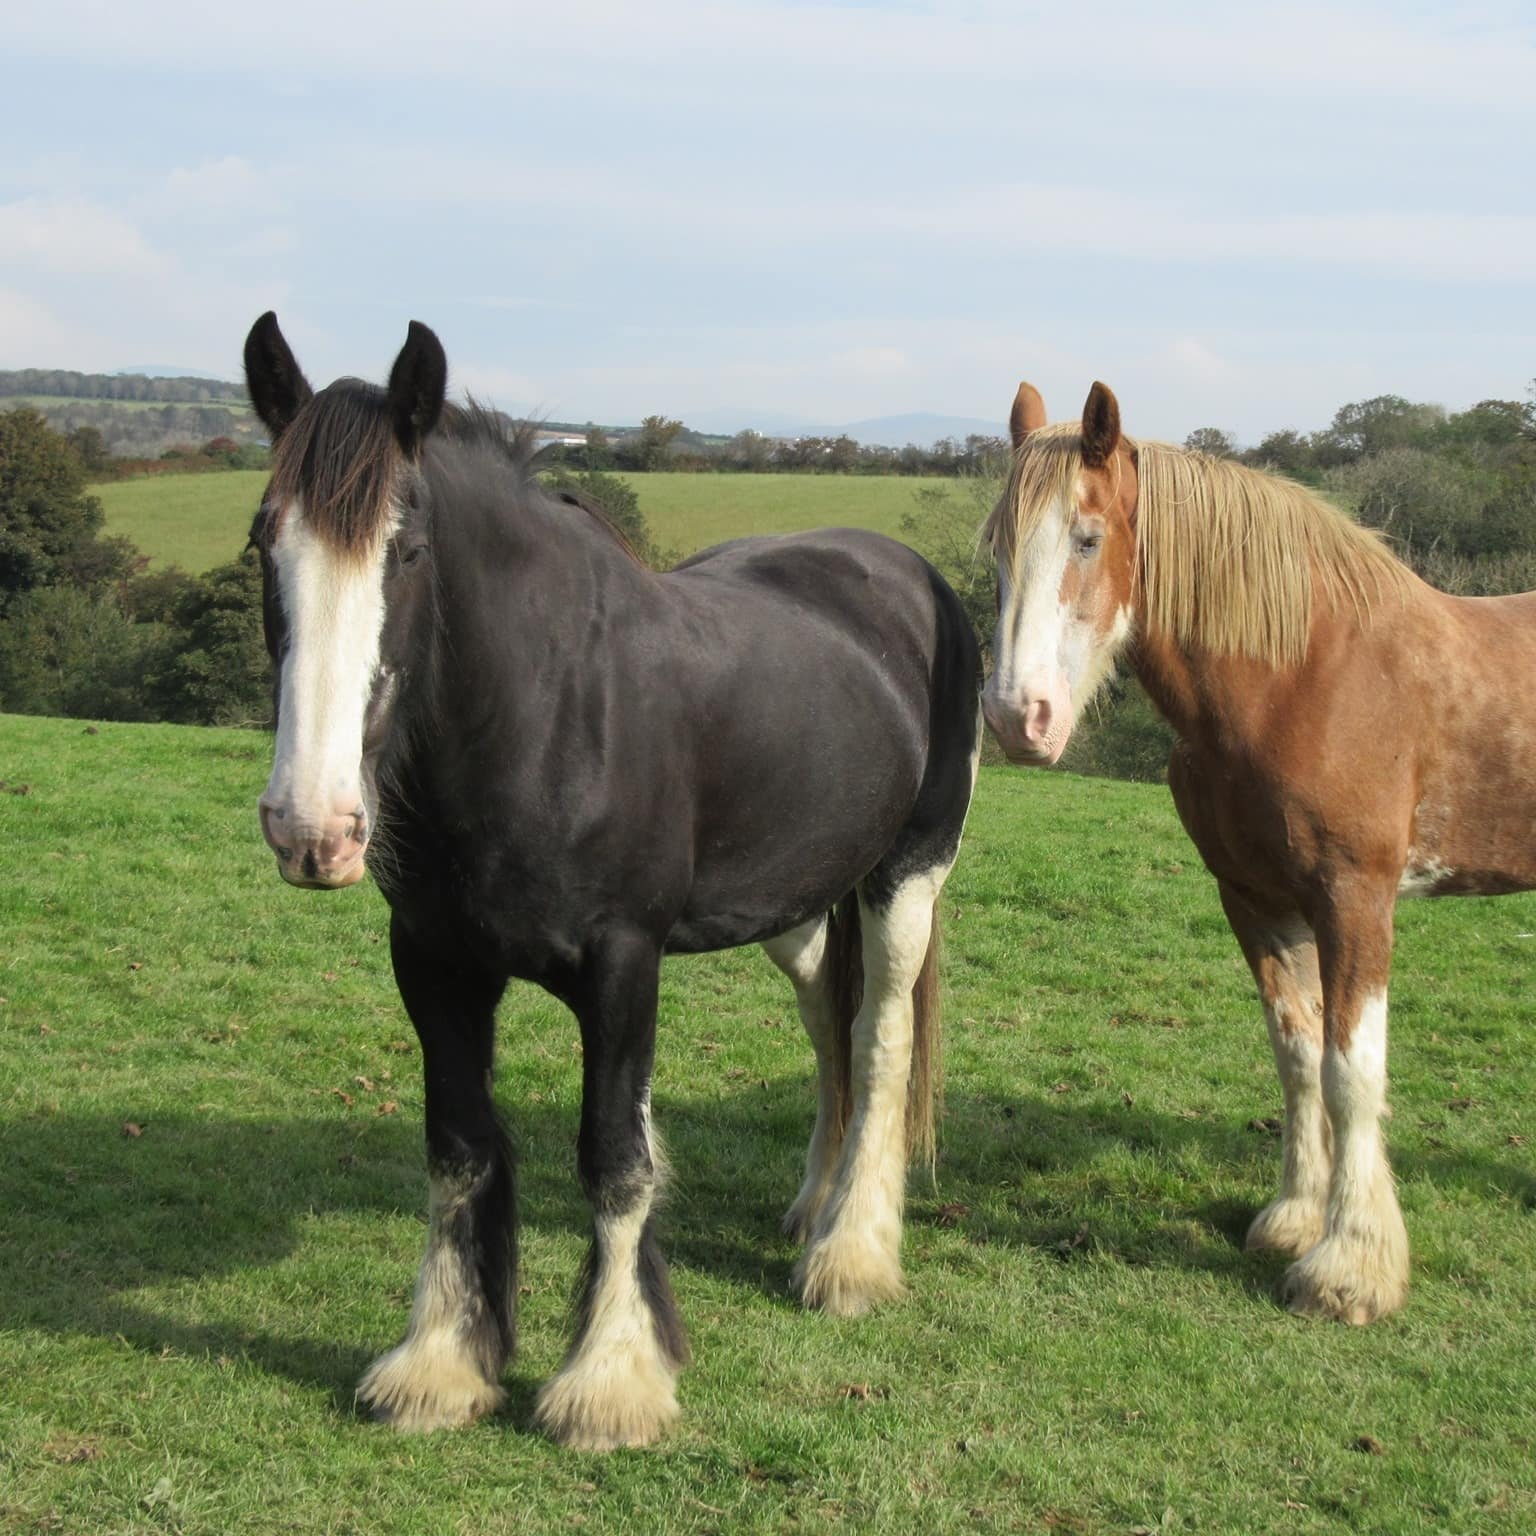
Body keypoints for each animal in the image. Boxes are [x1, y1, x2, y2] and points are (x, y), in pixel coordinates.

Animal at [244, 314, 976, 1449]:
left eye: (407, 551)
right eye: (261, 543)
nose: (311, 828)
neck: (544, 713)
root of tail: (911, 578)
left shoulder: (624, 966)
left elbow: (616, 1157)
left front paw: (611, 1380)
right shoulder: (434, 962)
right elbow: (458, 1146)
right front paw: (441, 1365)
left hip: (907, 876)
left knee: (881, 1036)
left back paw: (850, 1256)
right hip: (795, 907)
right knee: (828, 1027)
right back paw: (814, 1210)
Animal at [983, 380, 1536, 1320]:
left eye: (1087, 538)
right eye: (997, 550)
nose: (1019, 718)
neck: (1301, 676)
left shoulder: (1356, 900)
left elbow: (1352, 1071)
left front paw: (1349, 1269)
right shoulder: (1255, 898)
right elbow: (1298, 1055)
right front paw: (1294, 1218)